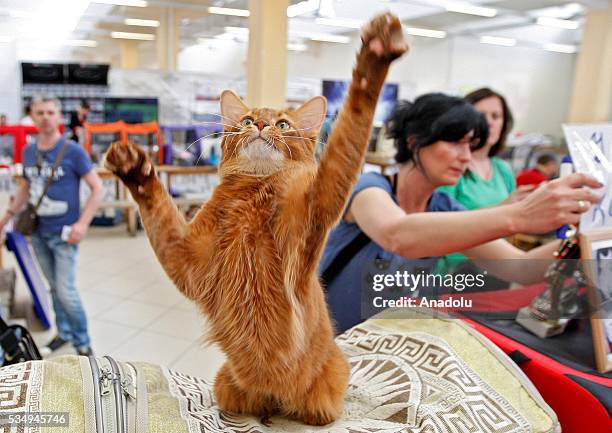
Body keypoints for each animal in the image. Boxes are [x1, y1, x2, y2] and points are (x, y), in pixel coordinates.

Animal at [106, 13, 406, 426]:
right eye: (248, 119)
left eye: (282, 125)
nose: (261, 126)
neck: (252, 196)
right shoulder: (186, 257)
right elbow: (158, 209)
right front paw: (135, 169)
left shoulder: (319, 201)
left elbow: (349, 130)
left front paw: (374, 59)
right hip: (226, 381)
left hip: (330, 381)